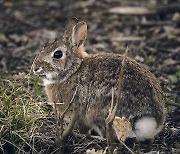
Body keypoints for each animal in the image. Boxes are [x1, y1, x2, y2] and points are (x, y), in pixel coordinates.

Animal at [32, 17, 166, 141]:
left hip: (100, 112)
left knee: (107, 136)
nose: (35, 68)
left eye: (58, 54)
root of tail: (149, 120)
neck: (73, 70)